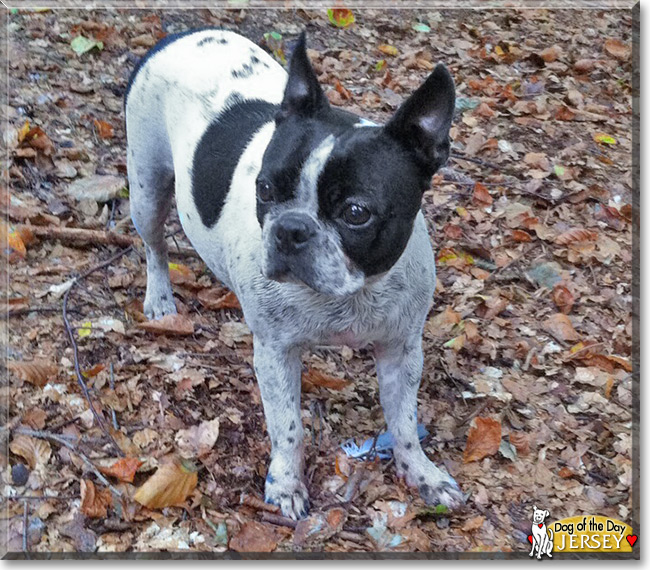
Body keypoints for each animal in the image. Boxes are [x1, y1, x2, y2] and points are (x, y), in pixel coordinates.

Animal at [126, 28, 458, 516]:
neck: (349, 296)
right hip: (147, 187)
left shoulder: (401, 350)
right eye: (264, 188)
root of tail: (181, 35)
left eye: (356, 213)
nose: (291, 228)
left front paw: (422, 474)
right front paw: (286, 485)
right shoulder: (276, 353)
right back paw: (160, 298)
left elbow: (404, 420)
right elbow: (287, 427)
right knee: (154, 244)